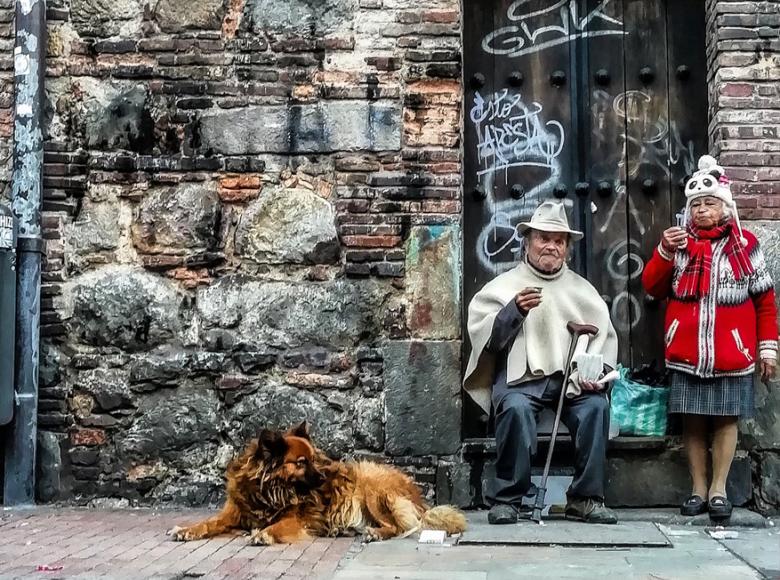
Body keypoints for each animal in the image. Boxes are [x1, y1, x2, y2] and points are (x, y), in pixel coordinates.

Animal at [168, 422, 466, 544]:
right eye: (301, 462)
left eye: (314, 459)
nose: (326, 476)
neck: (268, 491)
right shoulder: (233, 512)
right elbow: (208, 523)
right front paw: (186, 530)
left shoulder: (296, 518)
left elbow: (278, 525)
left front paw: (263, 534)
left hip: (372, 486)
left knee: (398, 527)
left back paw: (374, 533)